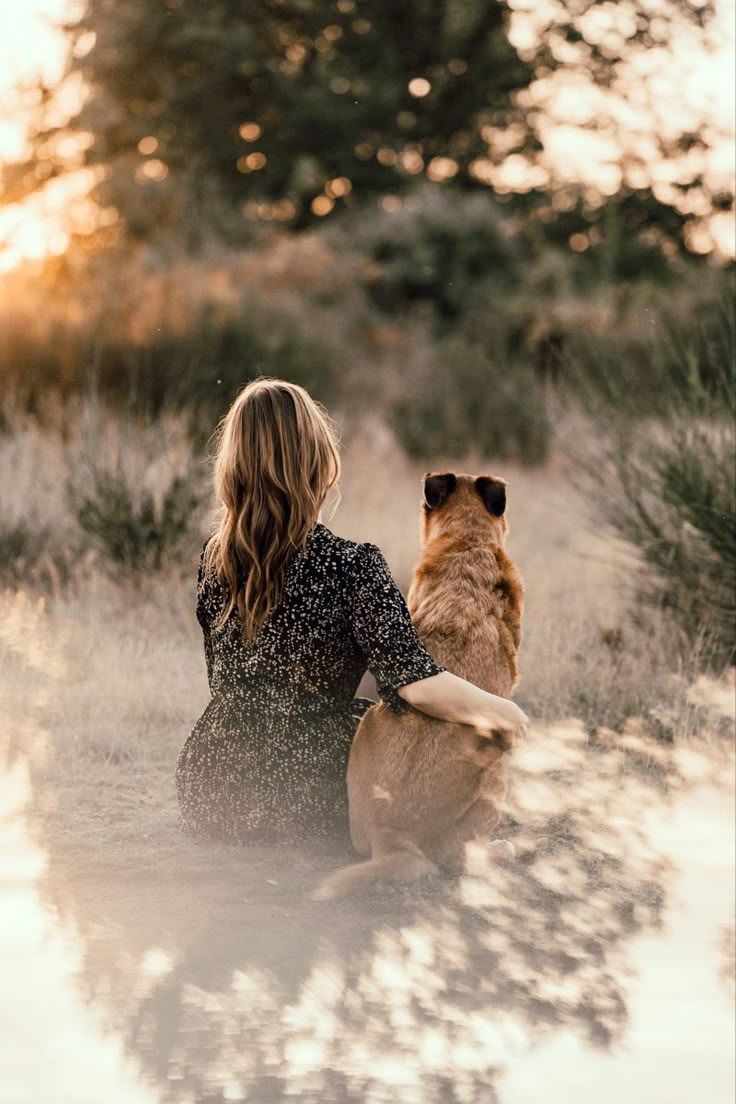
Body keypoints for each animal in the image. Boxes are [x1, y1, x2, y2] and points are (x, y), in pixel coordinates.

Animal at [317, 472, 523, 896]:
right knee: (457, 857)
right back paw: (497, 852)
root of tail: (391, 834)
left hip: (368, 721)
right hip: (496, 774)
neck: (468, 540)